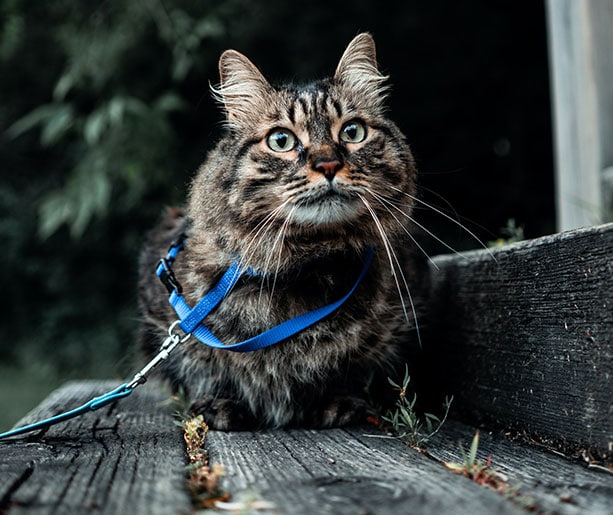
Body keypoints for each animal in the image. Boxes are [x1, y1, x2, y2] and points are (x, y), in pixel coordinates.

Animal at [138, 30, 428, 430]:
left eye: (353, 132)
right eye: (281, 140)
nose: (328, 164)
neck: (306, 270)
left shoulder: (396, 324)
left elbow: (353, 368)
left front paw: (338, 403)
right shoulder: (169, 308)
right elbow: (205, 366)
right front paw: (219, 404)